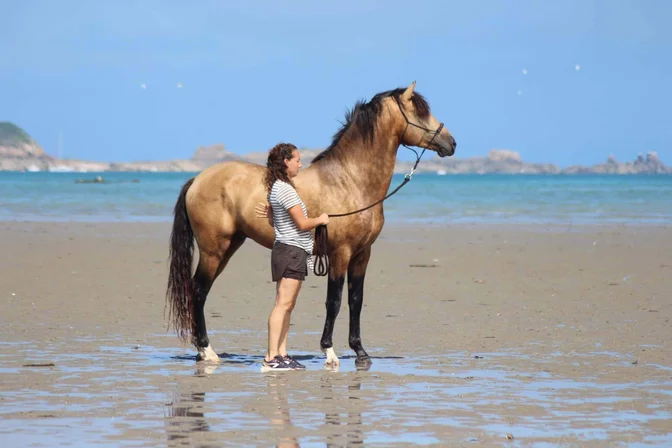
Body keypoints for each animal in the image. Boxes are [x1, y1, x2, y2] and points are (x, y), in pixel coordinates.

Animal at [165, 80, 456, 368]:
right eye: (420, 112)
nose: (451, 143)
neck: (350, 181)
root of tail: (197, 179)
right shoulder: (340, 253)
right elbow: (334, 301)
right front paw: (329, 352)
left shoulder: (362, 254)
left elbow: (356, 300)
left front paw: (360, 352)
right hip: (214, 250)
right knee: (198, 291)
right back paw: (207, 351)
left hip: (229, 246)